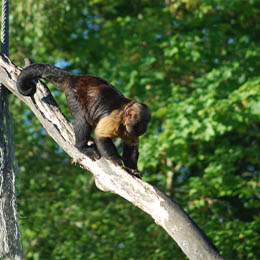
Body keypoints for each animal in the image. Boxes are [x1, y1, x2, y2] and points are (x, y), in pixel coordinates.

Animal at [16, 63, 150, 177]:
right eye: (142, 123)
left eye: (146, 123)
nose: (145, 128)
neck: (123, 123)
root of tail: (74, 77)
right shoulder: (115, 118)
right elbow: (101, 135)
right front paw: (115, 158)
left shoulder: (129, 131)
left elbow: (131, 146)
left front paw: (133, 169)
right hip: (73, 95)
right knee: (82, 121)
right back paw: (81, 147)